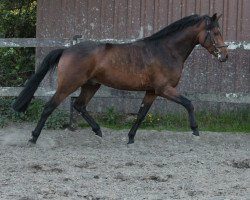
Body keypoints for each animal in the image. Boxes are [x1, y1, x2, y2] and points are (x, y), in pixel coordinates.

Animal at [13, 13, 229, 144]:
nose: (225, 56)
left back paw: (98, 131)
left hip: (91, 85)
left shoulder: (152, 91)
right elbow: (189, 103)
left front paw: (131, 137)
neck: (166, 50)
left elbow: (141, 114)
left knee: (79, 106)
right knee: (49, 107)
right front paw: (195, 130)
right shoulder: (164, 89)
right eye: (216, 32)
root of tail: (66, 50)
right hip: (68, 85)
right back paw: (33, 138)